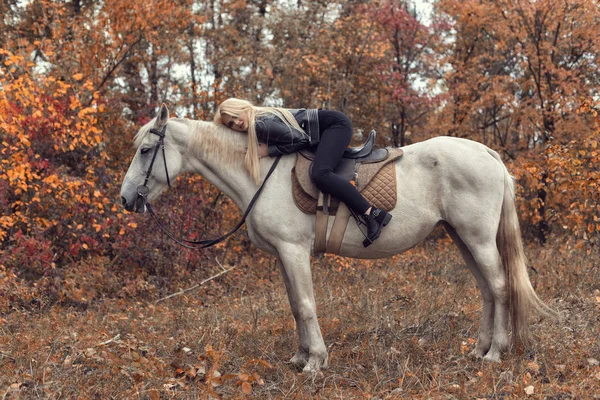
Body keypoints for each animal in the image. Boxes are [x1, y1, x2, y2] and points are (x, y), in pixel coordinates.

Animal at [119, 105, 556, 372]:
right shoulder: (284, 255)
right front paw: (300, 358)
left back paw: (495, 353)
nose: (126, 199)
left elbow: (306, 305)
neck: (259, 174)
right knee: (486, 290)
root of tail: (487, 153)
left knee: (498, 287)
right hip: (462, 238)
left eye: (146, 150)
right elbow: (295, 306)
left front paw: (316, 361)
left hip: (477, 238)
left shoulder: (294, 251)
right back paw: (480, 349)